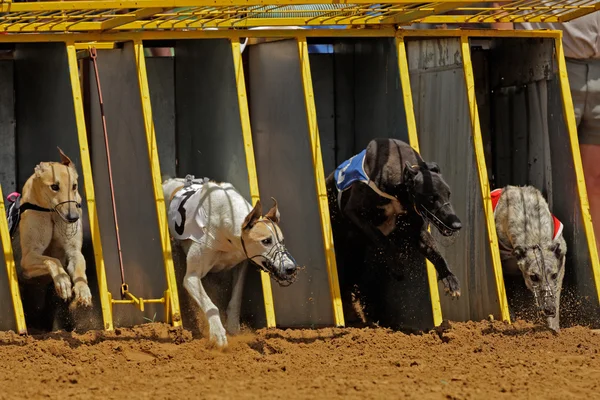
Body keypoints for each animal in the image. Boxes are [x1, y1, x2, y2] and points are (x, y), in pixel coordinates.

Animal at [7, 148, 92, 308]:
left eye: (74, 186)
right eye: (54, 186)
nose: (73, 218)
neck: (52, 213)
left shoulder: (73, 251)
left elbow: (79, 266)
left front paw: (82, 289)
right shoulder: (28, 258)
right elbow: (53, 260)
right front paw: (63, 280)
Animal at [162, 175, 298, 346]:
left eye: (282, 240)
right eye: (266, 241)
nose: (290, 268)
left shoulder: (241, 264)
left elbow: (237, 296)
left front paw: (233, 326)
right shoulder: (191, 277)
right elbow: (210, 304)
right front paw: (218, 333)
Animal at [326, 139, 462, 320]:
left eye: (448, 194)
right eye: (432, 197)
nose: (456, 225)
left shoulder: (417, 231)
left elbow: (436, 254)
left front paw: (450, 280)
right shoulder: (354, 212)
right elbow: (382, 239)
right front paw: (397, 266)